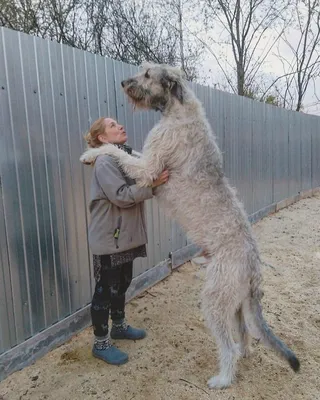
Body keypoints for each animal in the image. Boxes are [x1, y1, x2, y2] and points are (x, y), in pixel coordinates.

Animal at [80, 62, 300, 388]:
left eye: (148, 74)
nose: (123, 82)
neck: (178, 109)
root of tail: (253, 264)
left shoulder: (150, 166)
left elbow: (118, 152)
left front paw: (92, 153)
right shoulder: (148, 157)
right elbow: (128, 151)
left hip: (215, 298)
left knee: (228, 345)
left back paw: (223, 378)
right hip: (235, 301)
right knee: (244, 334)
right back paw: (244, 355)